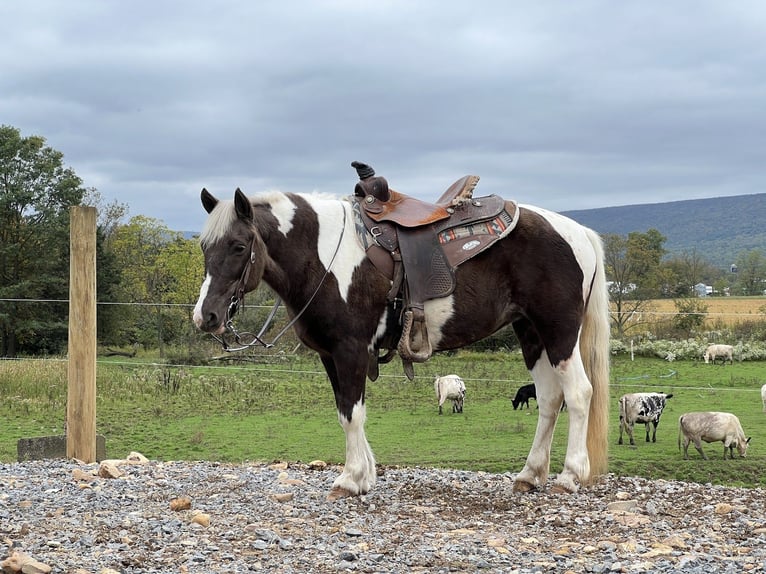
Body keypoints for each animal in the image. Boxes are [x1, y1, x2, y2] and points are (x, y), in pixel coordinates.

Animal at [192, 172, 612, 500]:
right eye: (204, 246)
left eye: (238, 246)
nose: (206, 316)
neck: (325, 257)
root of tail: (578, 232)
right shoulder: (330, 355)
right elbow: (345, 411)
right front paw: (364, 476)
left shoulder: (350, 349)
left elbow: (352, 414)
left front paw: (350, 479)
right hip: (531, 333)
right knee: (549, 398)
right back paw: (530, 475)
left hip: (559, 330)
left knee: (578, 394)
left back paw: (569, 476)